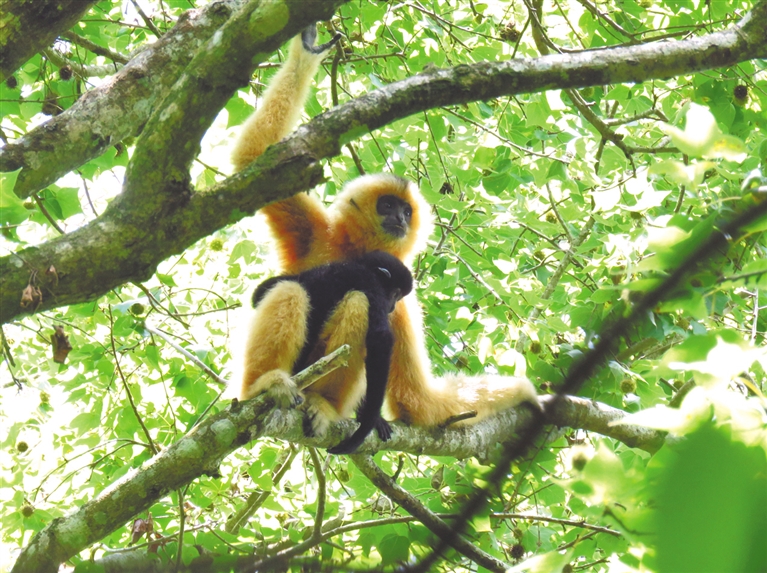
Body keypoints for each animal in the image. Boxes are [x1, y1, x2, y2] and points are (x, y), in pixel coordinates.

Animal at [234, 23, 539, 433]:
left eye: (407, 211)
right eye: (388, 205)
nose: (400, 218)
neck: (361, 253)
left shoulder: (404, 301)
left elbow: (418, 402)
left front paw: (523, 391)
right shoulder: (315, 230)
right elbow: (254, 158)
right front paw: (308, 52)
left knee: (358, 303)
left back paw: (323, 403)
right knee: (292, 290)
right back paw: (263, 384)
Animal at [241, 251, 413, 454]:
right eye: (395, 294)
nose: (392, 306)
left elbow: (261, 292)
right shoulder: (369, 282)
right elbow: (380, 338)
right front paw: (365, 427)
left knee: (292, 287)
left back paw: (323, 403)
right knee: (356, 300)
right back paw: (263, 383)